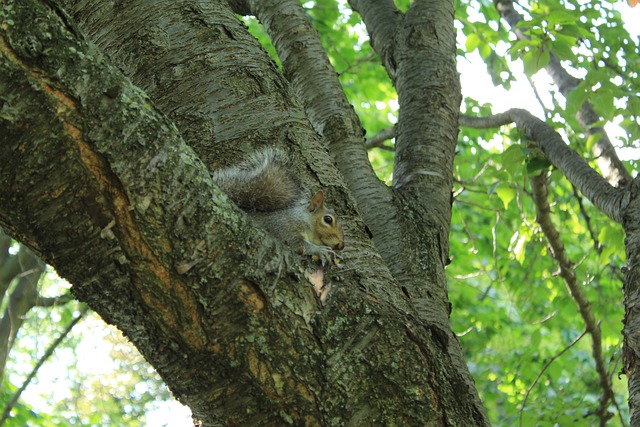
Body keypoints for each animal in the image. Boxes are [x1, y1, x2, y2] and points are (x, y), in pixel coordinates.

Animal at [212, 149, 344, 262]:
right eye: (327, 219)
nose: (341, 246)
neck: (303, 220)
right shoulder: (284, 227)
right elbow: (297, 243)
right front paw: (320, 250)